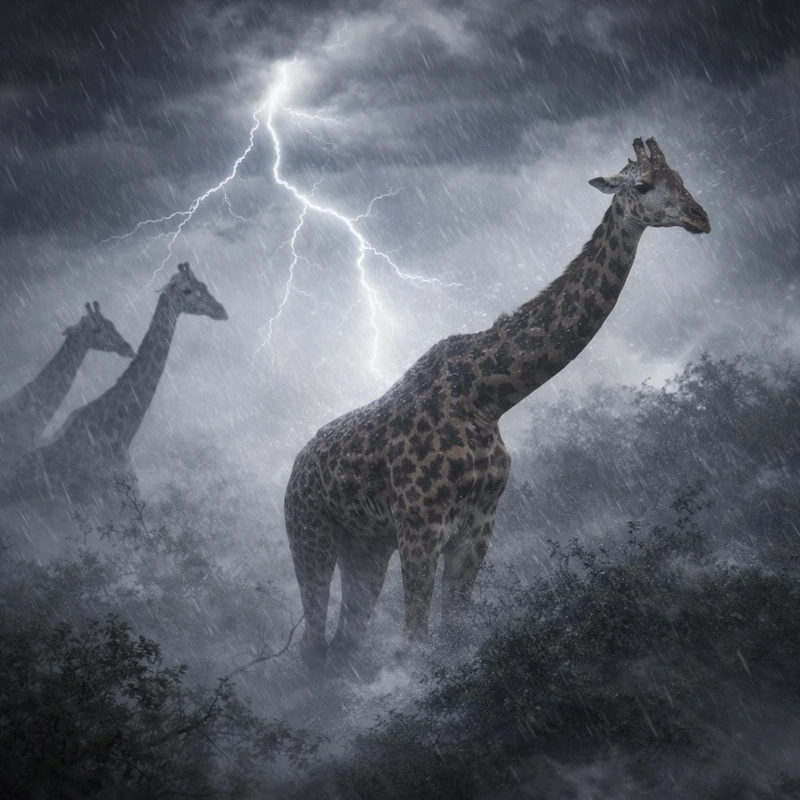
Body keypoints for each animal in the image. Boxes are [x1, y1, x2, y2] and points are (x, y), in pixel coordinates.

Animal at [284, 137, 711, 670]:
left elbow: (455, 634)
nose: (699, 217)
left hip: (364, 548)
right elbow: (415, 643)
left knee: (345, 643)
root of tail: (294, 469)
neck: (487, 397)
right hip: (311, 537)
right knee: (312, 645)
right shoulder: (420, 524)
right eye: (643, 184)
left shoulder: (478, 526)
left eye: (681, 177)